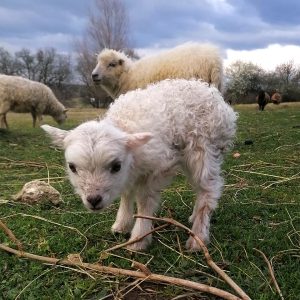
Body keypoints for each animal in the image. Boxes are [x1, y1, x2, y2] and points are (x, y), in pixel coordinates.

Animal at [41, 79, 237, 251]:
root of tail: (210, 90)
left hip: (204, 147)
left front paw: (139, 238)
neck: (125, 124)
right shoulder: (131, 172)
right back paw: (194, 217)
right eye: (72, 167)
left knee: (208, 189)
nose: (94, 200)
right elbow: (127, 193)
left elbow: (144, 201)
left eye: (116, 166)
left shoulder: (159, 167)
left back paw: (198, 237)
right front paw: (121, 224)